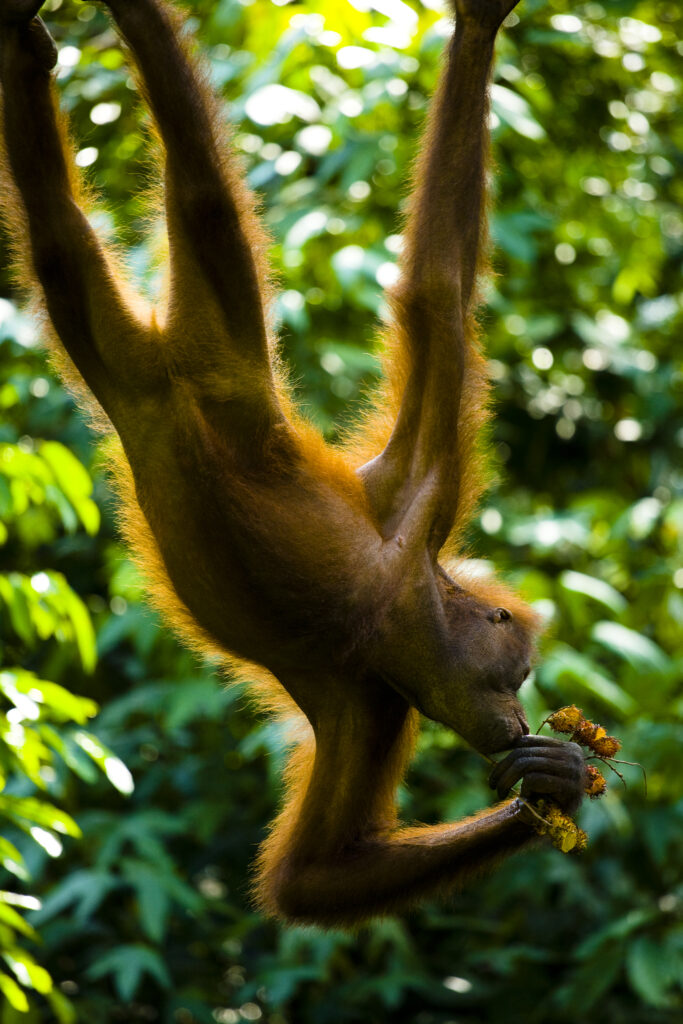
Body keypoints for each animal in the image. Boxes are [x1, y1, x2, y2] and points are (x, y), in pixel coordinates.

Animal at [0, 0, 587, 927]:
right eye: (516, 672)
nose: (518, 713)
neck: (398, 615)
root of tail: (164, 370)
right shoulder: (416, 506)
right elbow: (438, 296)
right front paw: (477, 29)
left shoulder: (371, 701)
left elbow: (316, 875)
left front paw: (554, 786)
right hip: (229, 361)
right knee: (204, 200)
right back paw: (130, 29)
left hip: (131, 365)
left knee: (61, 251)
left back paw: (24, 65)